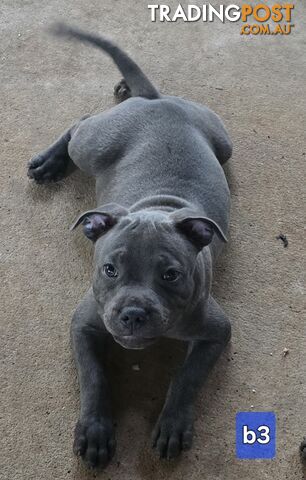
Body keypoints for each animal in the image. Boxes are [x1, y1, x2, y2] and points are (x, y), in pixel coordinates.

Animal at [28, 25, 232, 468]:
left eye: (171, 275)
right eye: (109, 269)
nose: (134, 314)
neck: (159, 208)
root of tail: (156, 100)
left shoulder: (217, 331)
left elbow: (187, 376)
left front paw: (172, 425)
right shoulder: (84, 322)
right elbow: (94, 378)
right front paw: (95, 432)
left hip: (223, 143)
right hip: (93, 144)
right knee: (80, 122)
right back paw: (49, 163)